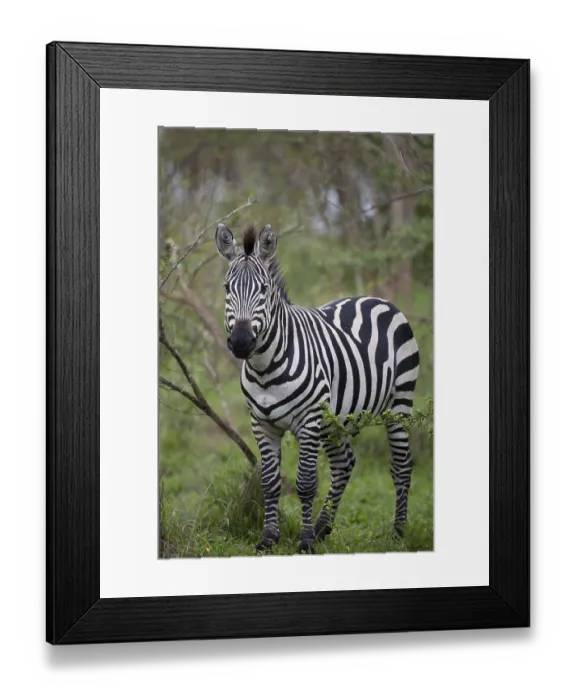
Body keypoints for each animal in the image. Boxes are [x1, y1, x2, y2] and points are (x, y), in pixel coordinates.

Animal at [215, 223, 420, 554]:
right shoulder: (262, 424)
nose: (242, 342)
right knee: (344, 464)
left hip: (399, 404)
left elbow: (306, 483)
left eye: (264, 289)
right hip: (335, 421)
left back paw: (399, 532)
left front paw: (306, 541)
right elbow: (269, 482)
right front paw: (268, 538)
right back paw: (325, 525)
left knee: (401, 466)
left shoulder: (308, 421)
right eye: (226, 288)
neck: (265, 368)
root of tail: (376, 299)